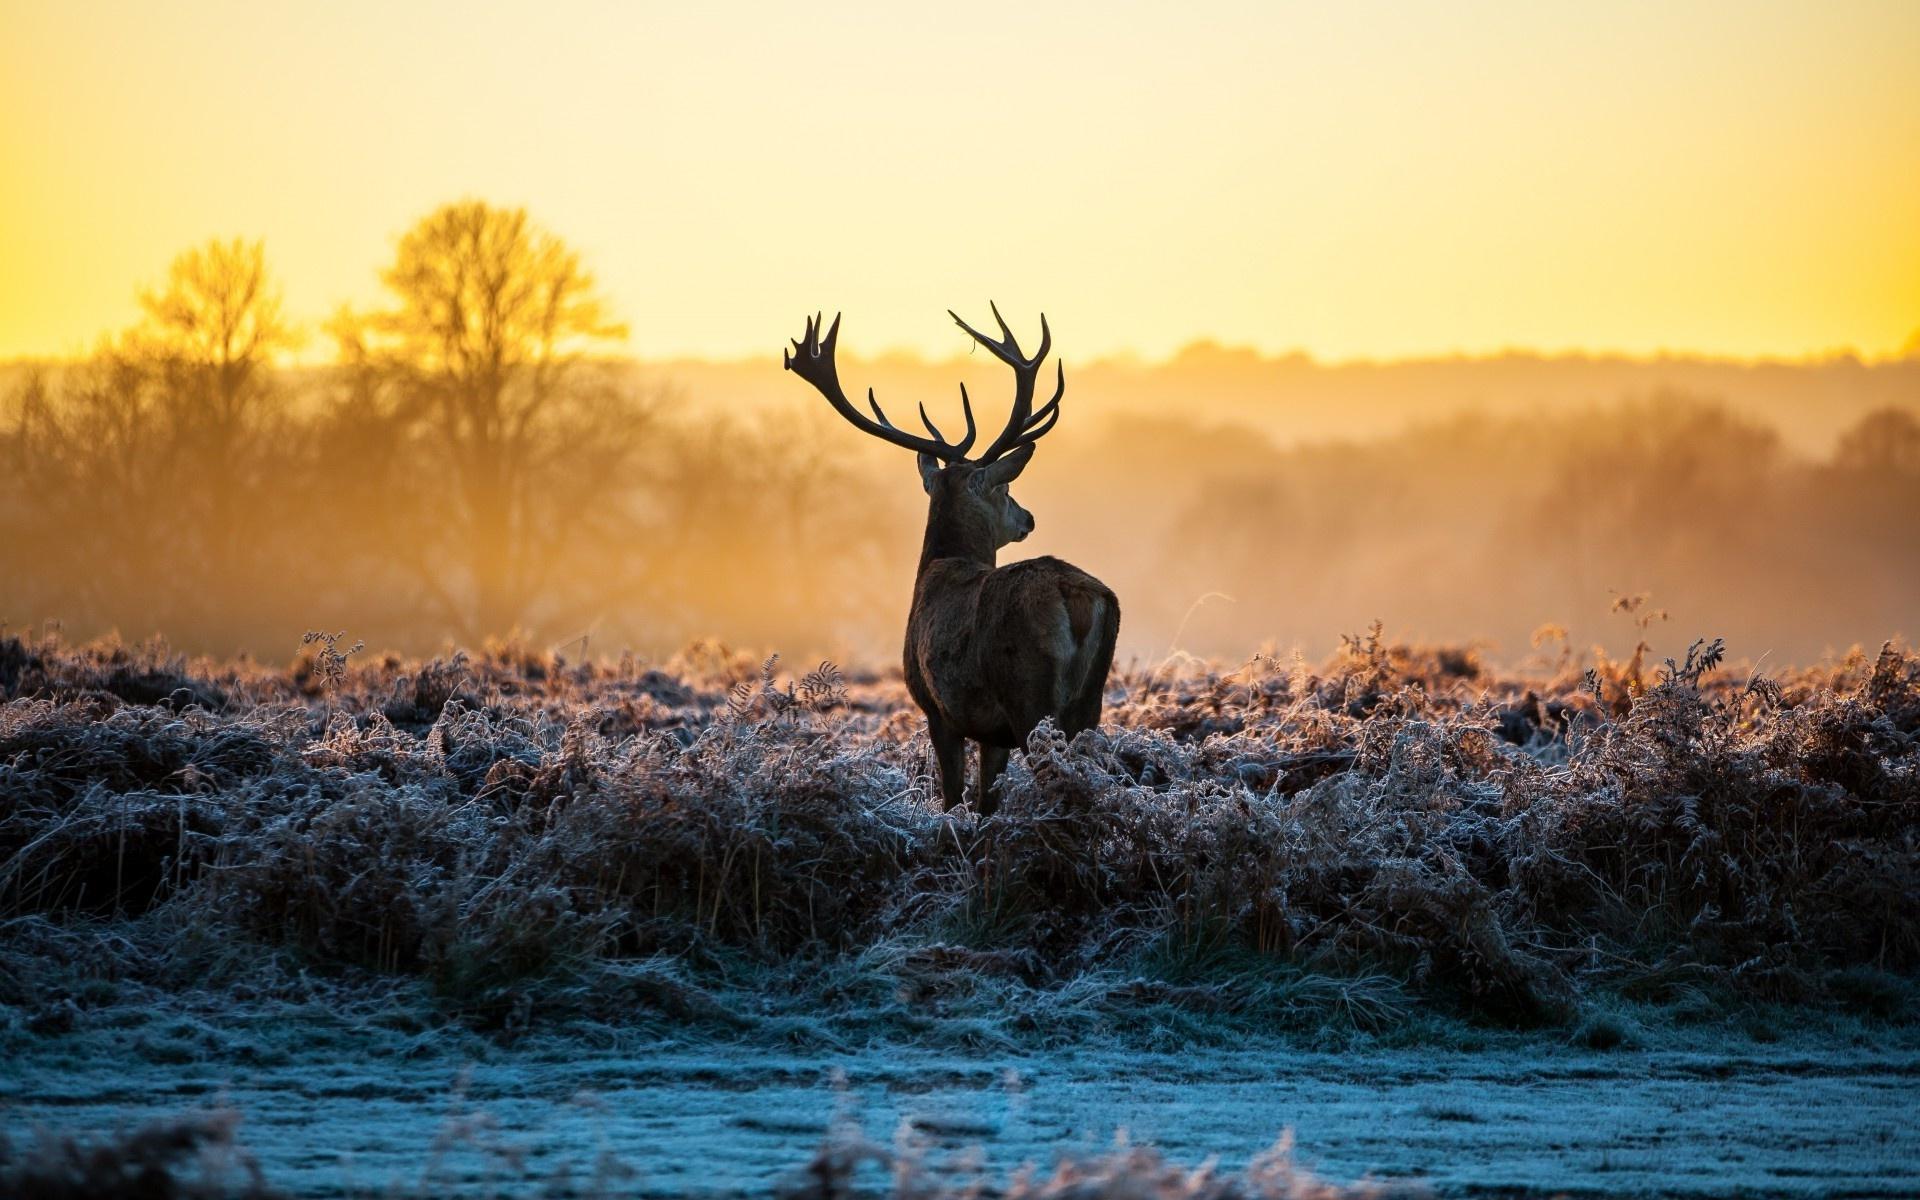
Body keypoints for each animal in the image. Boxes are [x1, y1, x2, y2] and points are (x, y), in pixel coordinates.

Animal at [784, 305, 1120, 819]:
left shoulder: (938, 710)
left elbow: (952, 797)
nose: (1028, 517)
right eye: (1005, 488)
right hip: (1089, 702)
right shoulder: (990, 732)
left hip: (1029, 694)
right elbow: (985, 801)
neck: (939, 567)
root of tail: (1078, 596)